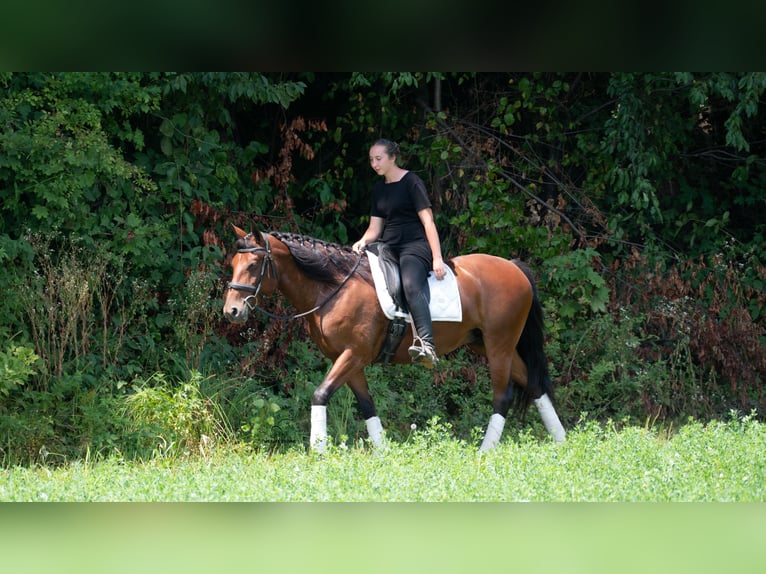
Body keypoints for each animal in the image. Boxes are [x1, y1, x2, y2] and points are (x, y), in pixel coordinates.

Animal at [222, 224, 565, 452]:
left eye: (253, 265)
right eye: (233, 264)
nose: (232, 310)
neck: (333, 287)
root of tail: (514, 268)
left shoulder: (354, 354)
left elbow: (320, 395)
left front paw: (318, 453)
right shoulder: (347, 360)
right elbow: (367, 405)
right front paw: (383, 453)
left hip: (498, 345)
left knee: (503, 395)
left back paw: (485, 451)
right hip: (488, 343)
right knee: (534, 384)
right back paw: (563, 443)